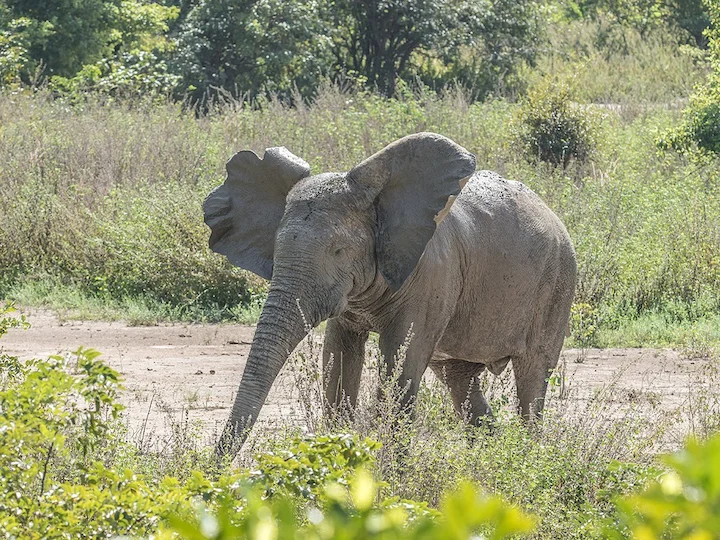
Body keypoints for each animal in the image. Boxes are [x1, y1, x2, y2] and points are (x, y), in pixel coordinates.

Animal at [204, 132, 577, 458]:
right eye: (277, 249)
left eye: (339, 251)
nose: (213, 469)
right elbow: (337, 359)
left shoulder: (430, 275)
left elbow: (400, 361)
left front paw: (387, 476)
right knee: (459, 381)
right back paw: (490, 460)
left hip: (557, 282)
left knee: (532, 376)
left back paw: (525, 457)